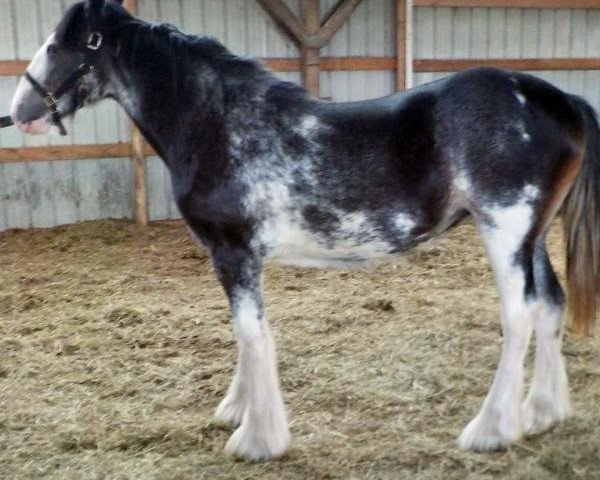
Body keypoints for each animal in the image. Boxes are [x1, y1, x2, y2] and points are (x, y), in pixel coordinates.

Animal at [9, 0, 600, 464]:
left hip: (504, 231)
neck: (219, 123)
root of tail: (560, 101)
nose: (20, 111)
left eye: (58, 45)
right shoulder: (237, 258)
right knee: (550, 306)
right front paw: (236, 411)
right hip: (532, 238)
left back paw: (491, 430)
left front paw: (257, 440)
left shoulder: (234, 253)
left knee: (520, 317)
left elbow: (253, 336)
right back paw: (542, 413)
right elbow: (248, 336)